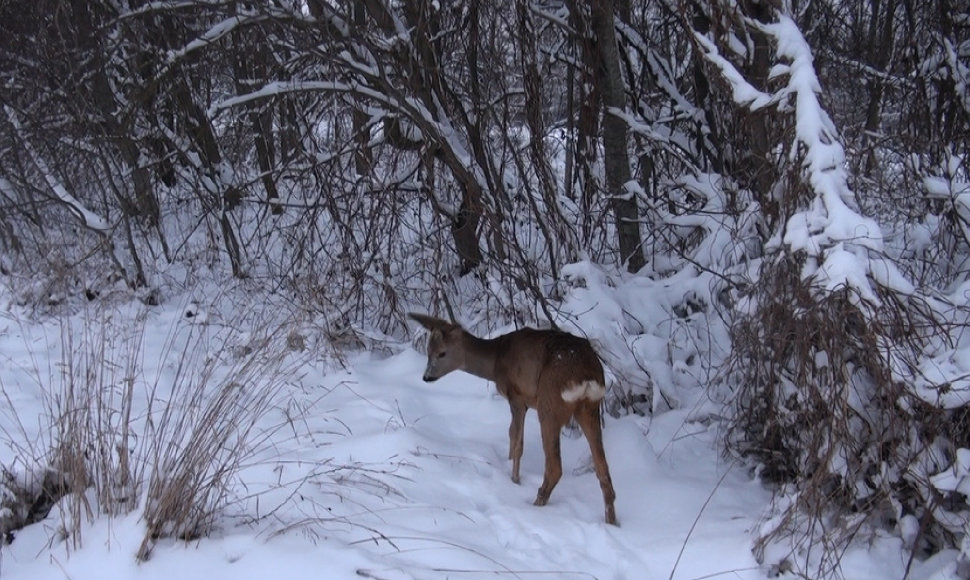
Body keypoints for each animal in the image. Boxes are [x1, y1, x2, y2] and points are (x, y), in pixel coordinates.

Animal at [406, 312, 616, 524]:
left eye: (442, 353)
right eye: (428, 351)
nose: (426, 377)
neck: (495, 360)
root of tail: (586, 376)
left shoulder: (517, 397)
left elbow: (516, 439)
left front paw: (514, 480)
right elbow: (511, 435)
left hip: (549, 403)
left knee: (555, 466)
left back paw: (536, 505)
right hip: (590, 408)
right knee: (603, 469)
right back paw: (611, 521)